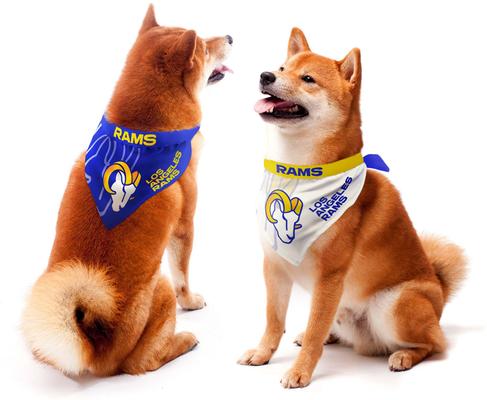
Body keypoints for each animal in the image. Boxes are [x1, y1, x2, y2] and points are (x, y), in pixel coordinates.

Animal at [21, 5, 232, 376]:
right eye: (206, 49)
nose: (231, 37)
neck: (142, 128)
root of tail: (94, 345)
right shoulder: (184, 226)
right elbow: (184, 274)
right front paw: (192, 301)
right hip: (159, 287)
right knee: (142, 362)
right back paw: (183, 340)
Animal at [238, 27, 466, 388]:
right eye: (282, 68)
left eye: (308, 79)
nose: (265, 75)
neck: (299, 174)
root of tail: (439, 294)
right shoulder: (274, 265)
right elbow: (274, 321)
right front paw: (263, 353)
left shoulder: (330, 276)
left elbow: (315, 329)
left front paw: (300, 371)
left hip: (393, 304)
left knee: (435, 343)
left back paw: (404, 355)